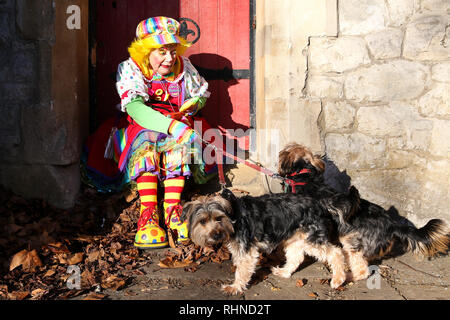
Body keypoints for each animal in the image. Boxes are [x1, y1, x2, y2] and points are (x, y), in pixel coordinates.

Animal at [182, 189, 348, 296]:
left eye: (218, 218)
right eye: (202, 221)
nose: (216, 235)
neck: (232, 215)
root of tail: (320, 204)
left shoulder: (247, 250)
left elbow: (241, 271)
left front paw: (235, 287)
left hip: (311, 238)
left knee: (336, 252)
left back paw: (338, 279)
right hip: (295, 239)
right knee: (297, 257)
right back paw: (284, 272)